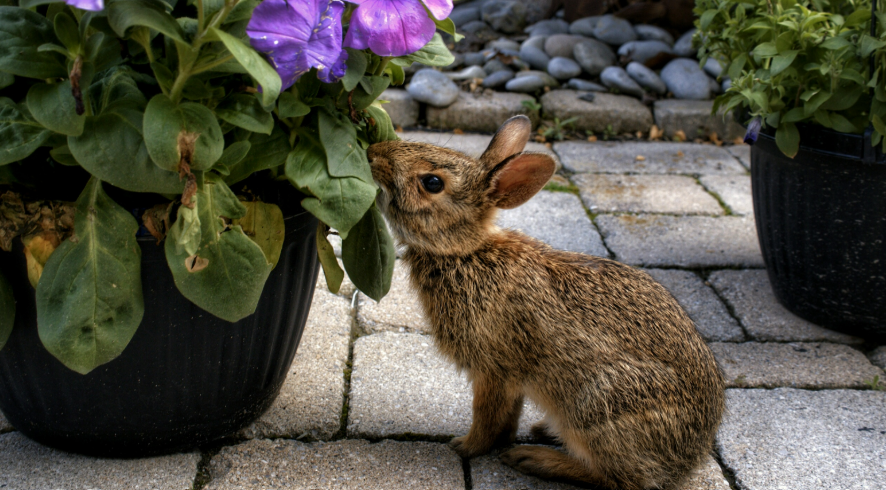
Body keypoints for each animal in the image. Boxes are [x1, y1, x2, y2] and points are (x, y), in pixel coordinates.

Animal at [366, 115, 725, 490]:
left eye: (432, 182)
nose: (373, 153)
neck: (465, 253)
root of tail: (688, 459)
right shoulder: (512, 379)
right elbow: (508, 415)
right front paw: (500, 440)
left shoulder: (494, 369)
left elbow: (486, 415)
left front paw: (466, 447)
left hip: (599, 406)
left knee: (618, 478)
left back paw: (534, 458)